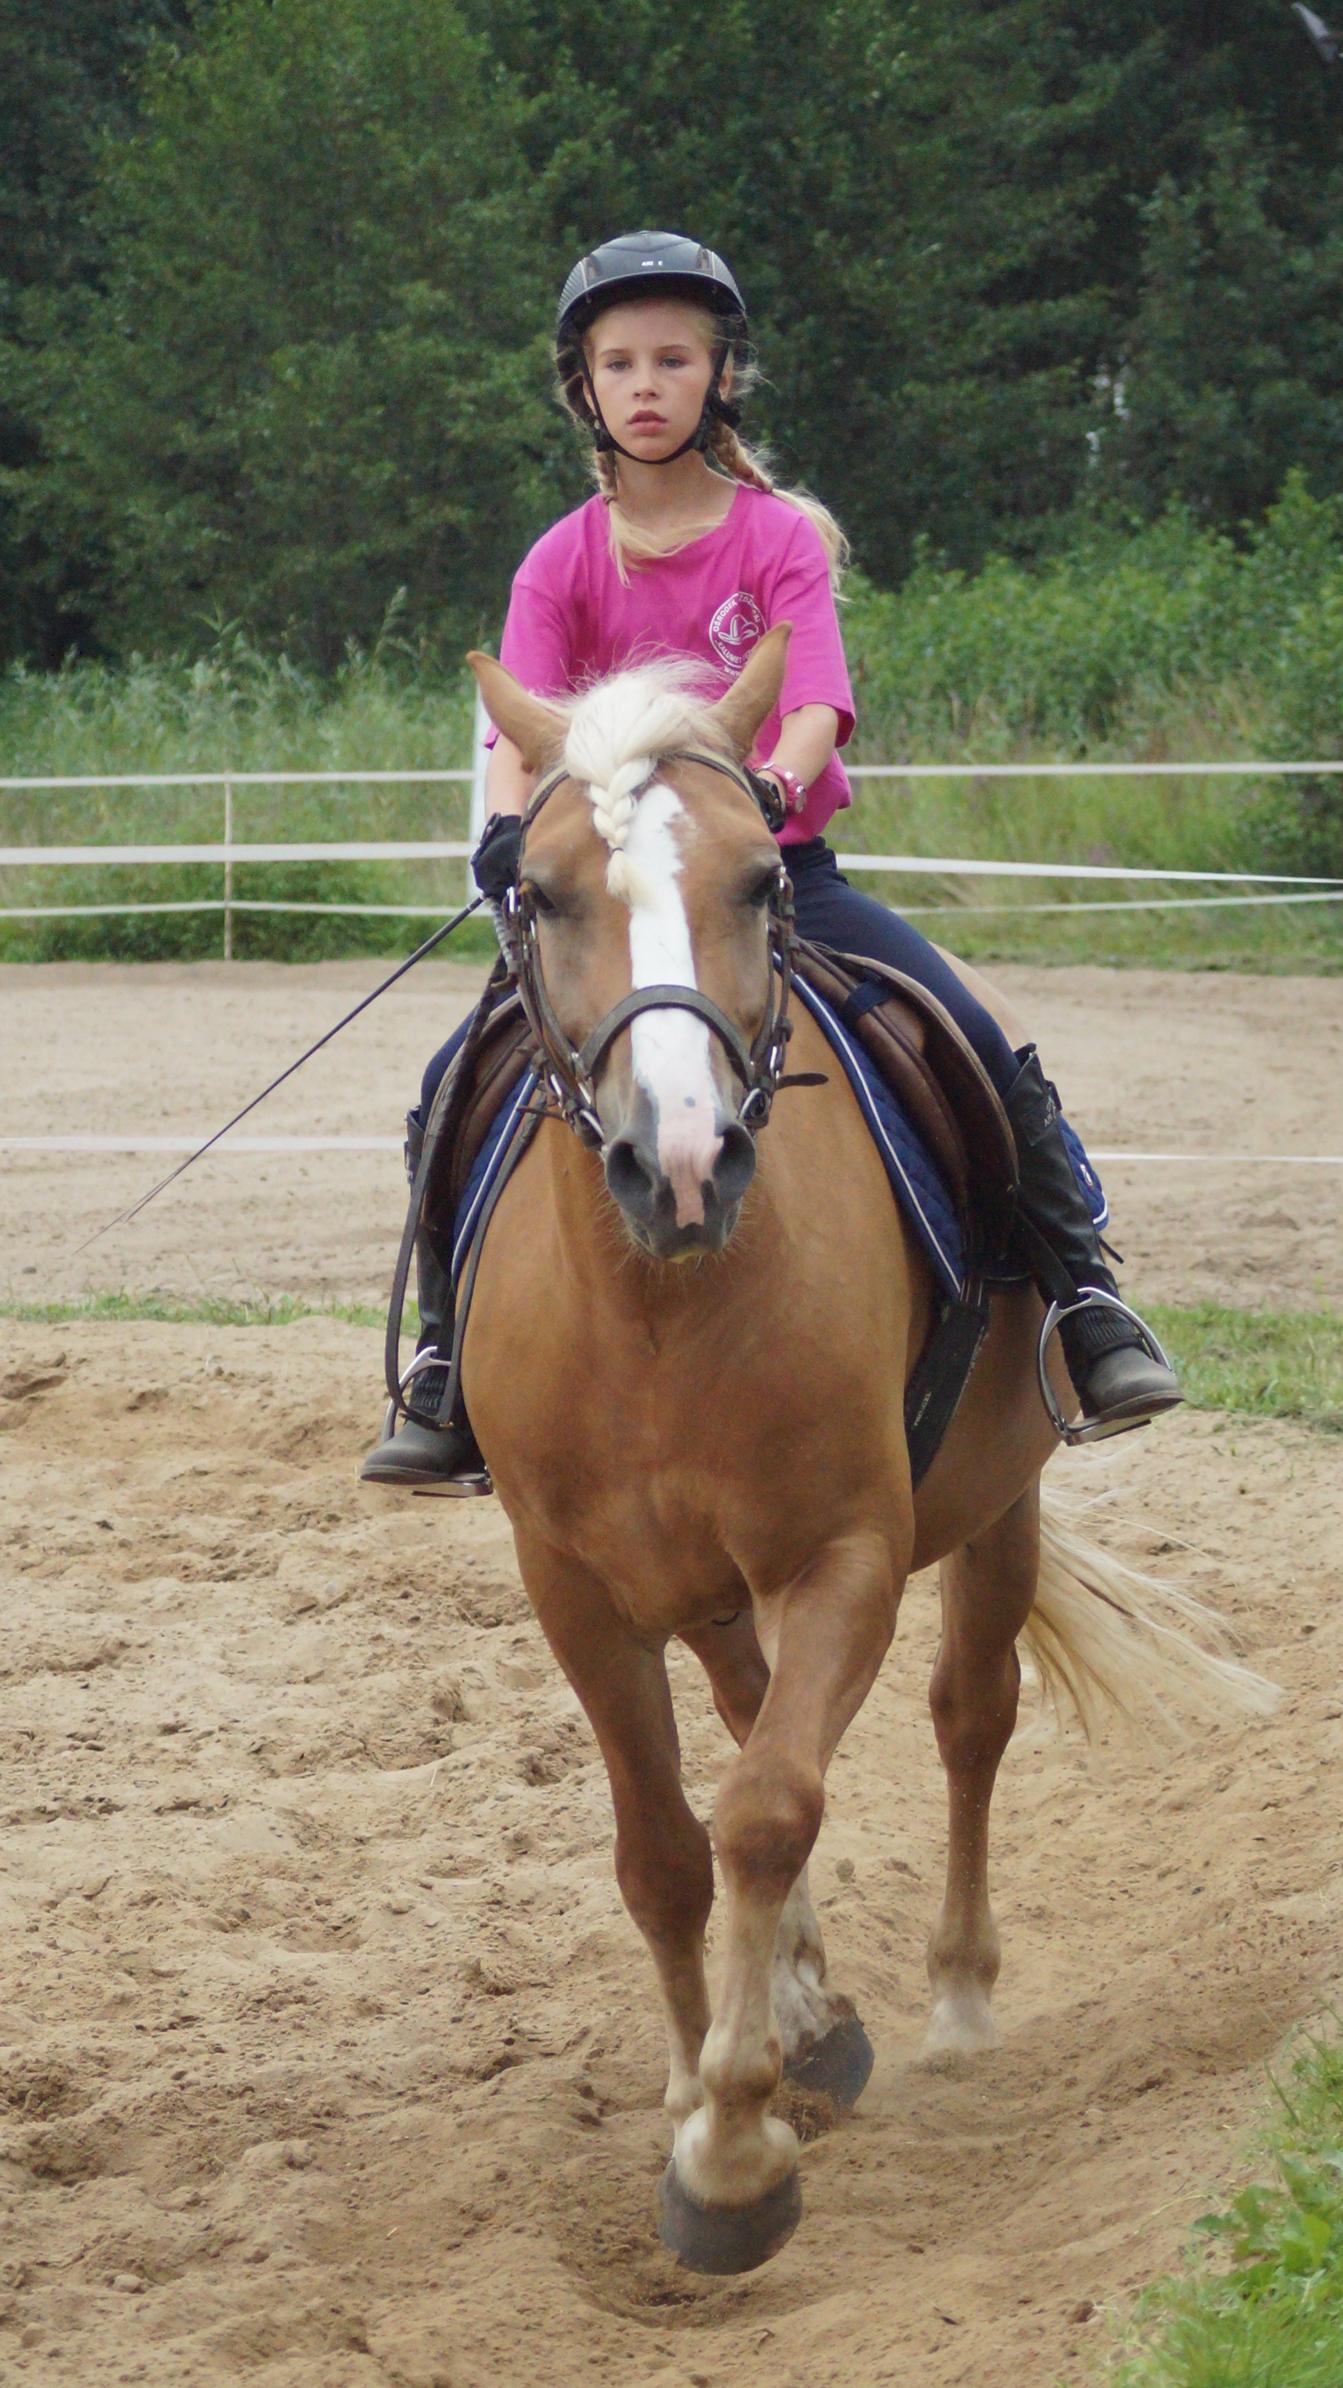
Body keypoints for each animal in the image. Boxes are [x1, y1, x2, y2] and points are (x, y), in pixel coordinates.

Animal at [454, 628, 1265, 2275]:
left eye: (763, 877)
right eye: (540, 890)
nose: (680, 1161)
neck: (657, 1304)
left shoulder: (847, 1556)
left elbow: (769, 1807)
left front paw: (732, 2155)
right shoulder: (572, 1588)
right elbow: (665, 1849)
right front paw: (703, 2084)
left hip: (998, 1505)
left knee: (966, 1720)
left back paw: (948, 1999)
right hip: (703, 1591)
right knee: (749, 1717)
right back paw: (811, 2010)